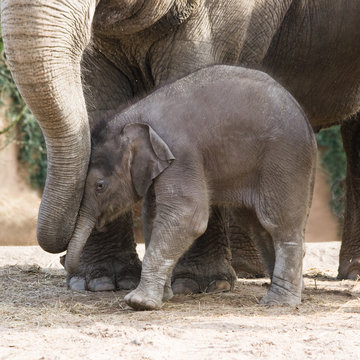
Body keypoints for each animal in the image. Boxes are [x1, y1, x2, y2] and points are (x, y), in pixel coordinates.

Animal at [63, 64, 316, 310]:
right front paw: (164, 296)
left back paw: (278, 302)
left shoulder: (181, 154)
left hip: (284, 160)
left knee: (279, 222)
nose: (64, 262)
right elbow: (153, 216)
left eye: (100, 185)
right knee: (256, 225)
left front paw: (139, 303)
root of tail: (306, 121)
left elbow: (188, 216)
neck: (136, 115)